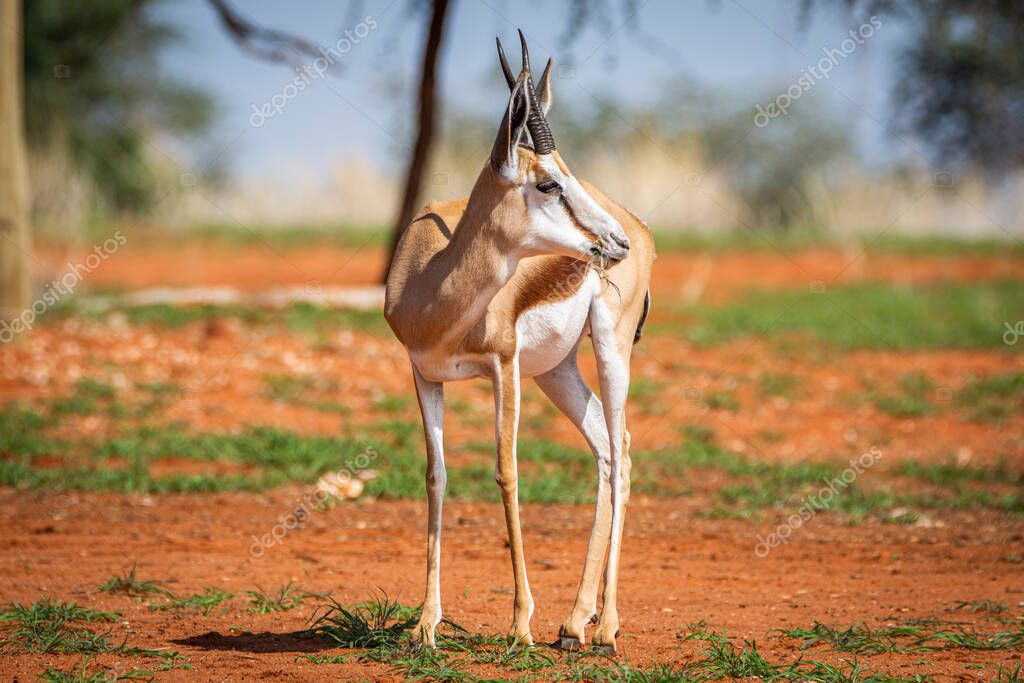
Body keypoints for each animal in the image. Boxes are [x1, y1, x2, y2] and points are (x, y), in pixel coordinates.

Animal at [385, 30, 655, 651]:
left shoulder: (502, 365)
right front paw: (425, 623)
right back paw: (576, 622)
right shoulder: (423, 374)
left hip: (609, 350)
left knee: (621, 450)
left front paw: (518, 623)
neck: (430, 287)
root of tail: (640, 222)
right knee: (609, 451)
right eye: (549, 182)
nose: (617, 242)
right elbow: (435, 476)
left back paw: (607, 626)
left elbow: (507, 473)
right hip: (557, 371)